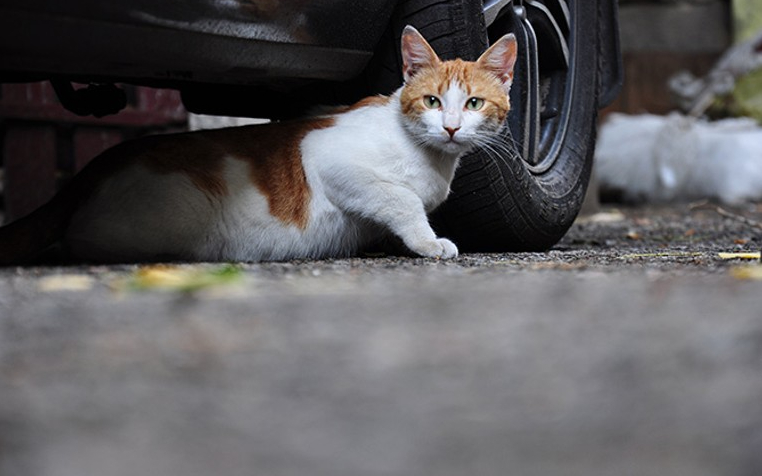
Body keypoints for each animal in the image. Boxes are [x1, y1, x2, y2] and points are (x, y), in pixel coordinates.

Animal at [0, 27, 516, 264]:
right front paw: (429, 242)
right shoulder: (329, 156)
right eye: (432, 100)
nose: (451, 127)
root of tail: (97, 165)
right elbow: (402, 199)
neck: (430, 158)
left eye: (473, 103)